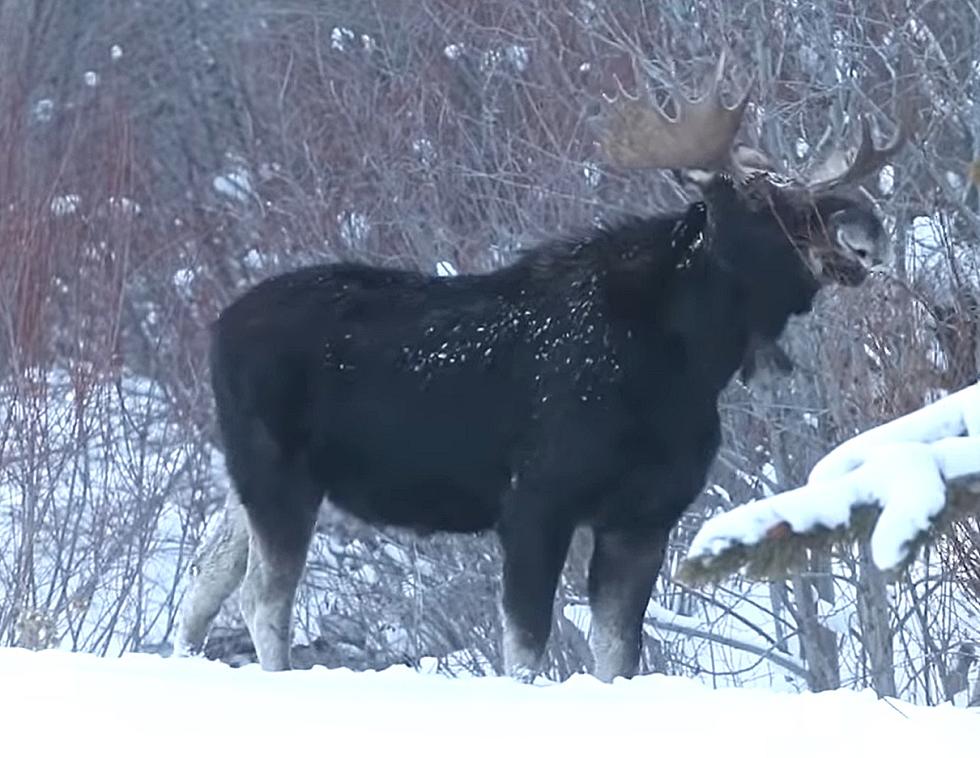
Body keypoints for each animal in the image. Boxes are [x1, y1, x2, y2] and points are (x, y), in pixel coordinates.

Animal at [174, 58, 904, 684]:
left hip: (248, 477)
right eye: (761, 201)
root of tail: (215, 328)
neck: (689, 366)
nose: (867, 228)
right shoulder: (534, 503)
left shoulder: (645, 517)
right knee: (262, 599)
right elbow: (525, 649)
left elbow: (618, 652)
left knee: (206, 574)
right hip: (277, 474)